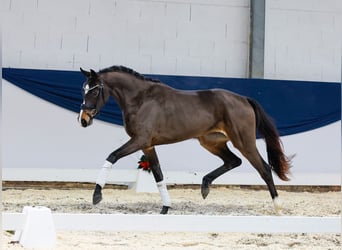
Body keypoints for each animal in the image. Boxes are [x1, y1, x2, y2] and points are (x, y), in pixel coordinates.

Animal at [77, 65, 292, 214]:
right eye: (83, 90)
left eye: (94, 90)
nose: (83, 120)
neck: (141, 99)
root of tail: (244, 99)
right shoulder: (148, 146)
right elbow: (158, 175)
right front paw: (165, 208)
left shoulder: (140, 140)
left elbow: (112, 156)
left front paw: (97, 195)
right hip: (211, 142)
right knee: (233, 161)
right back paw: (205, 186)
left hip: (244, 142)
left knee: (264, 169)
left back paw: (278, 206)